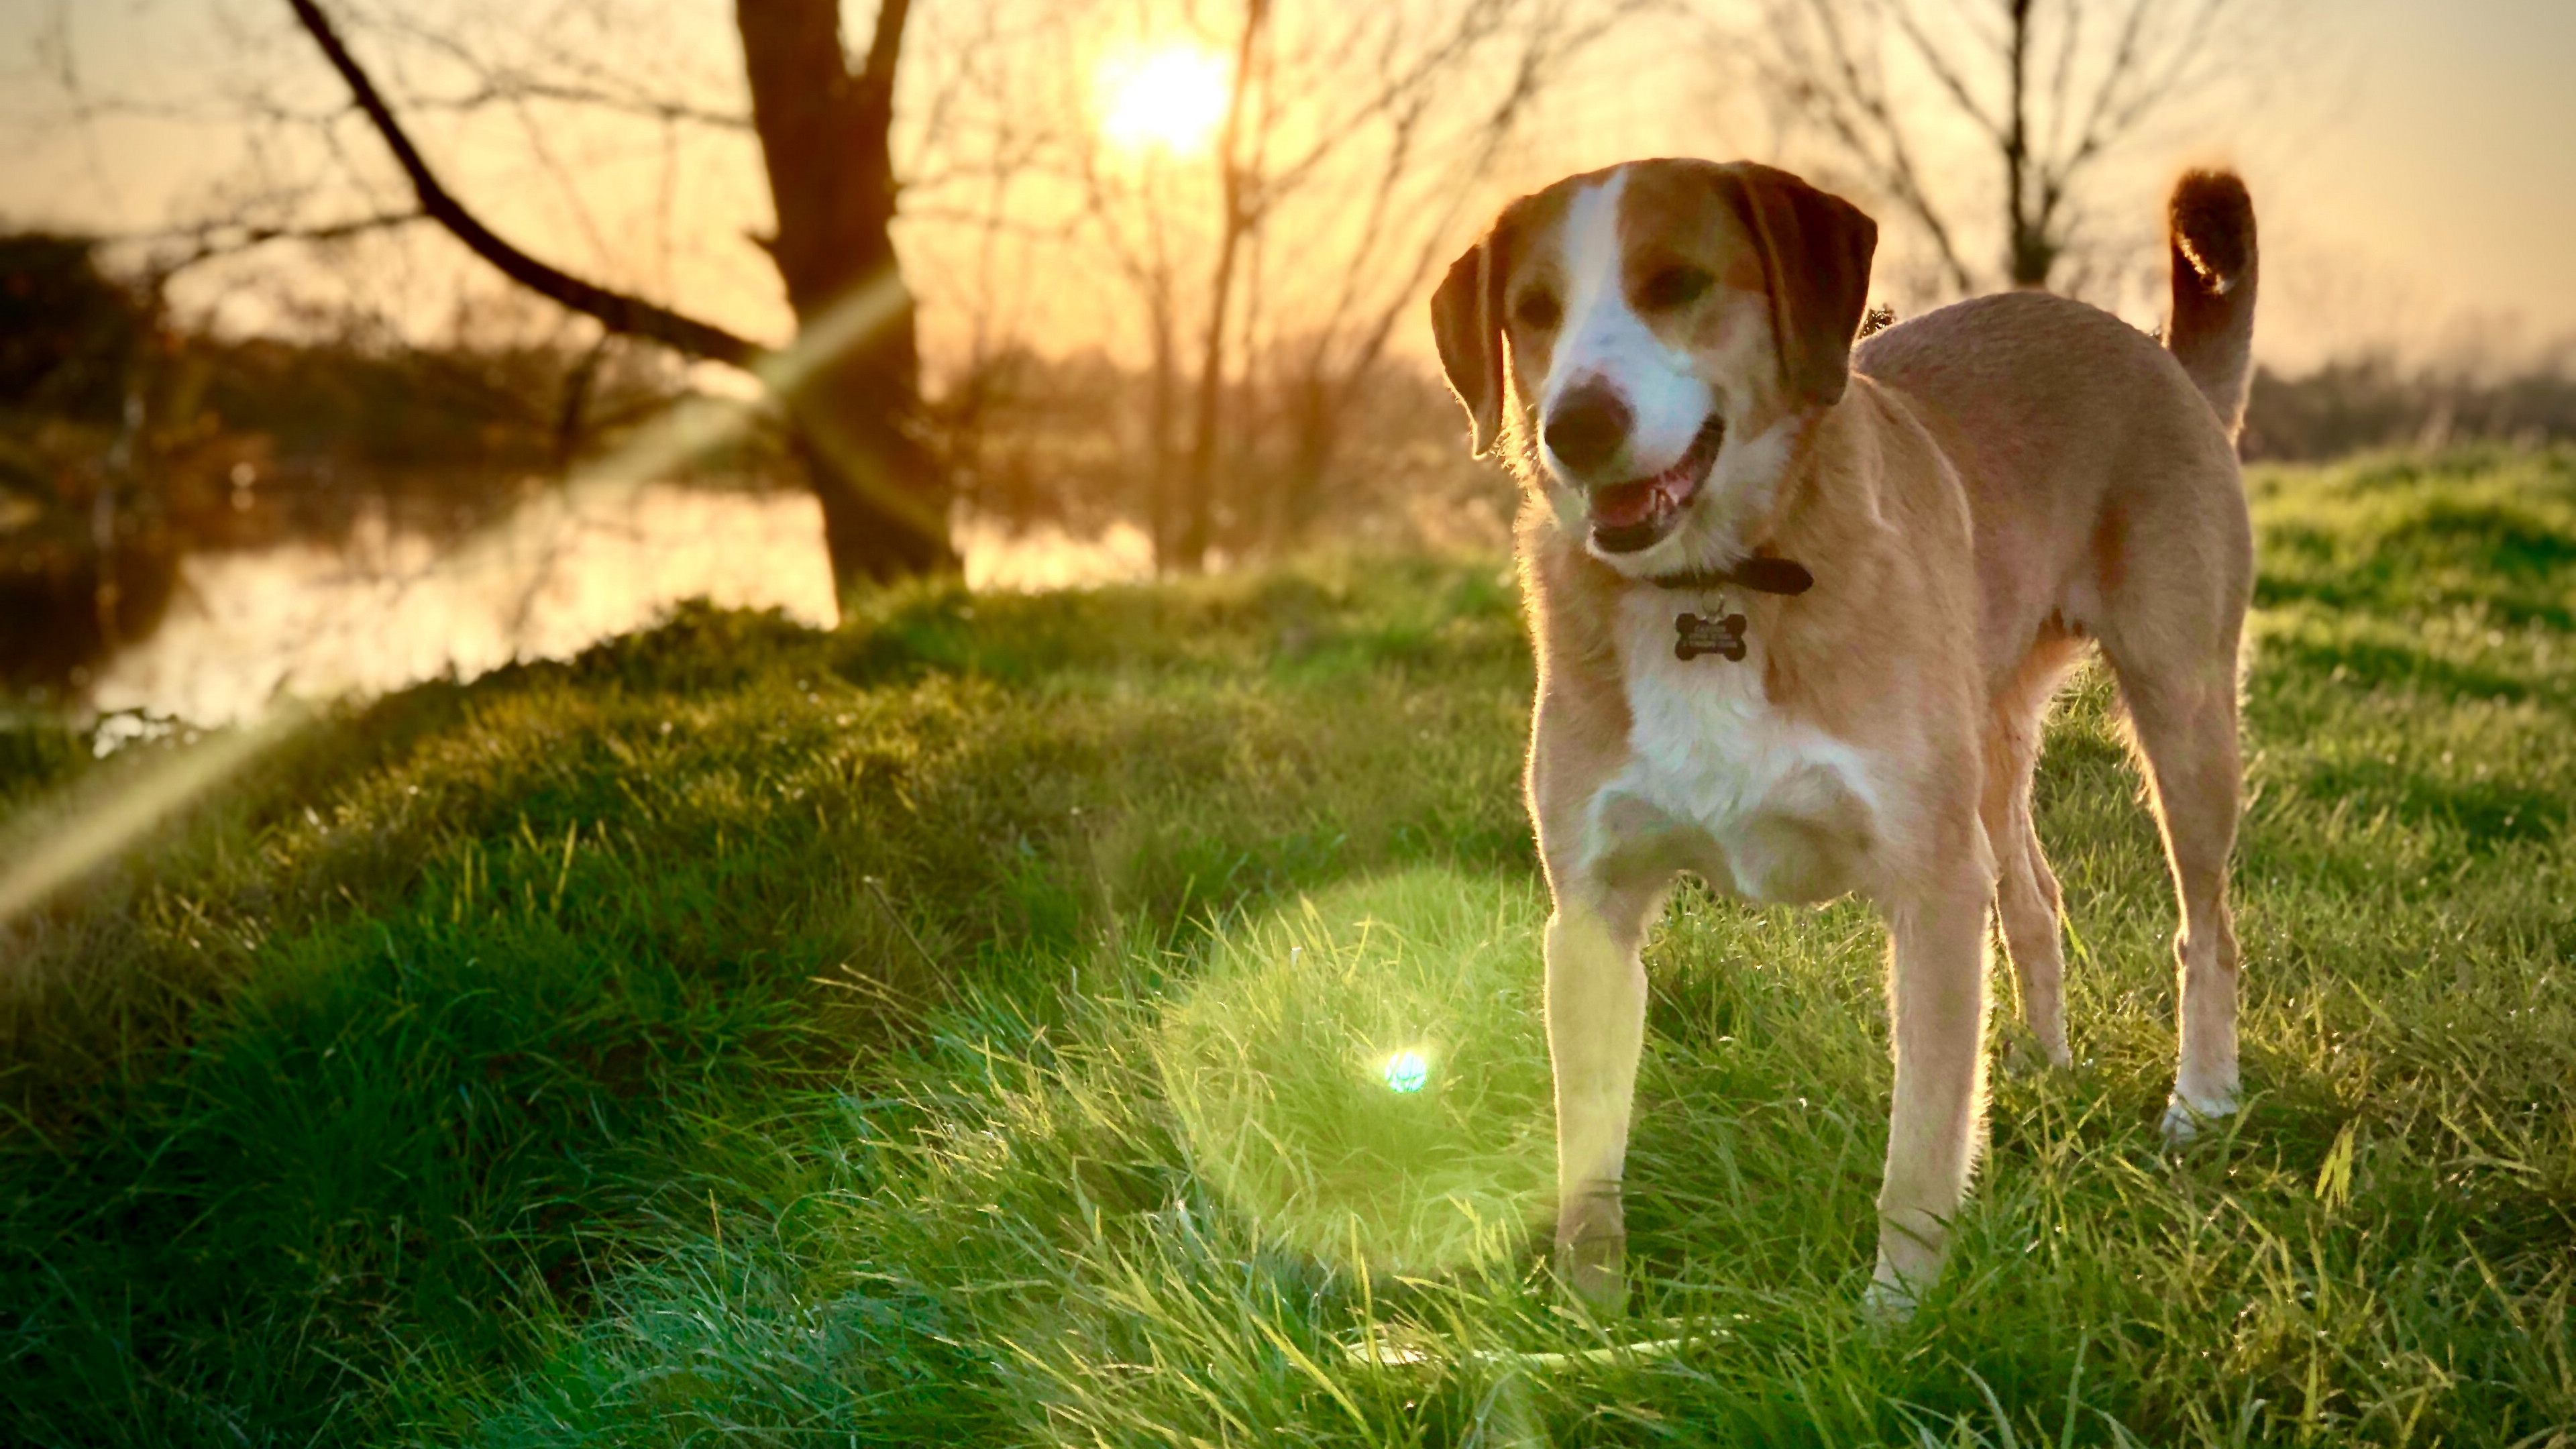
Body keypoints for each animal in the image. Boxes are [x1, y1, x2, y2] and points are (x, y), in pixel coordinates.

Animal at [1432, 160, 2256, 1309]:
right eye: (1535, 312)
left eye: (1677, 283)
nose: (1576, 427)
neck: (1716, 589)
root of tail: (2155, 352)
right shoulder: (1592, 916)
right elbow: (1586, 1164)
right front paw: (1589, 1320)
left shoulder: (1931, 889)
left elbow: (1921, 1147)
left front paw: (1898, 1318)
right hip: (1992, 751)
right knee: (2036, 902)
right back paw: (2045, 1068)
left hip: (2180, 715)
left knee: (2206, 927)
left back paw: (2203, 1102)